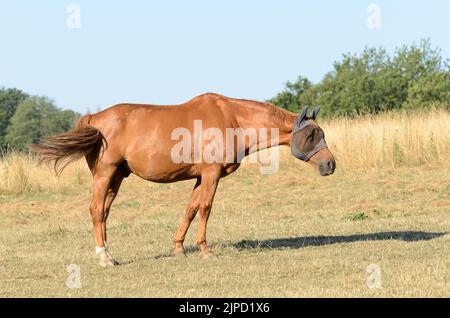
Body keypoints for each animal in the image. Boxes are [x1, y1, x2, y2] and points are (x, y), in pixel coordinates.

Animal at [31, 93, 334, 268]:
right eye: (312, 134)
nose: (330, 164)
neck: (232, 119)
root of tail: (94, 118)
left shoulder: (201, 176)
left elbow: (190, 209)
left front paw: (178, 248)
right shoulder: (211, 174)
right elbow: (205, 209)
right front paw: (205, 250)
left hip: (116, 177)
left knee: (104, 212)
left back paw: (110, 255)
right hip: (105, 174)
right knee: (95, 211)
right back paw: (104, 258)